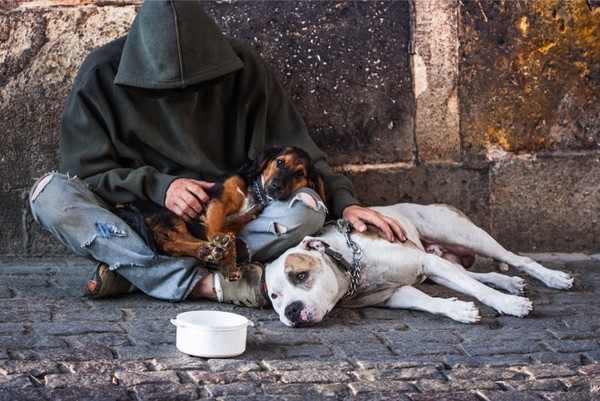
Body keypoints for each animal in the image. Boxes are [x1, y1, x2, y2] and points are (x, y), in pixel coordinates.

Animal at [116, 145, 324, 280]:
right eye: (279, 162)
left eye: (299, 174)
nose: (276, 186)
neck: (254, 191)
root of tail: (122, 205)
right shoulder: (218, 201)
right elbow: (216, 229)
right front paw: (221, 247)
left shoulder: (237, 223)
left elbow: (229, 241)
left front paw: (228, 265)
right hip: (172, 215)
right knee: (174, 241)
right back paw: (208, 249)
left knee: (173, 244)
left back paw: (206, 251)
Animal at [266, 203, 572, 324]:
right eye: (275, 297)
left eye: (301, 276)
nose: (291, 310)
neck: (352, 268)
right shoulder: (394, 294)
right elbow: (428, 302)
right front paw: (458, 309)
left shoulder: (426, 262)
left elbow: (481, 292)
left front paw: (509, 305)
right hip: (444, 262)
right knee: (478, 275)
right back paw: (509, 283)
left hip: (465, 236)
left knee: (517, 259)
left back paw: (553, 278)